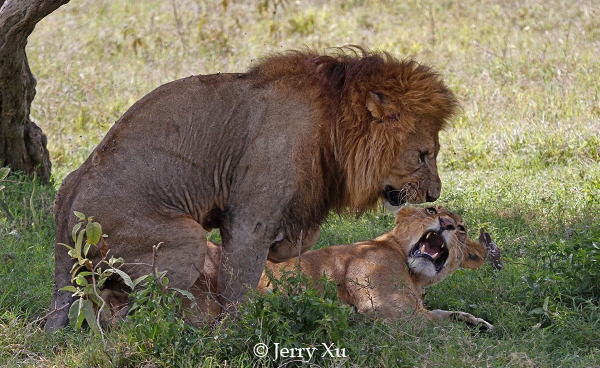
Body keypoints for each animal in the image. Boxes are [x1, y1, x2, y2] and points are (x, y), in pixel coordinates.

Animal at [47, 46, 458, 330]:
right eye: (423, 155)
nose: (435, 196)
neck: (332, 126)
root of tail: (64, 224)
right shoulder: (249, 219)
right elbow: (240, 280)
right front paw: (240, 329)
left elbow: (299, 242)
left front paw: (282, 250)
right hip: (185, 240)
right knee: (134, 316)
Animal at [197, 206, 492, 330]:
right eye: (431, 210)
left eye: (462, 228)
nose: (446, 223)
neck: (416, 277)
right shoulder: (388, 307)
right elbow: (433, 322)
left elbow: (444, 313)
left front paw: (476, 322)